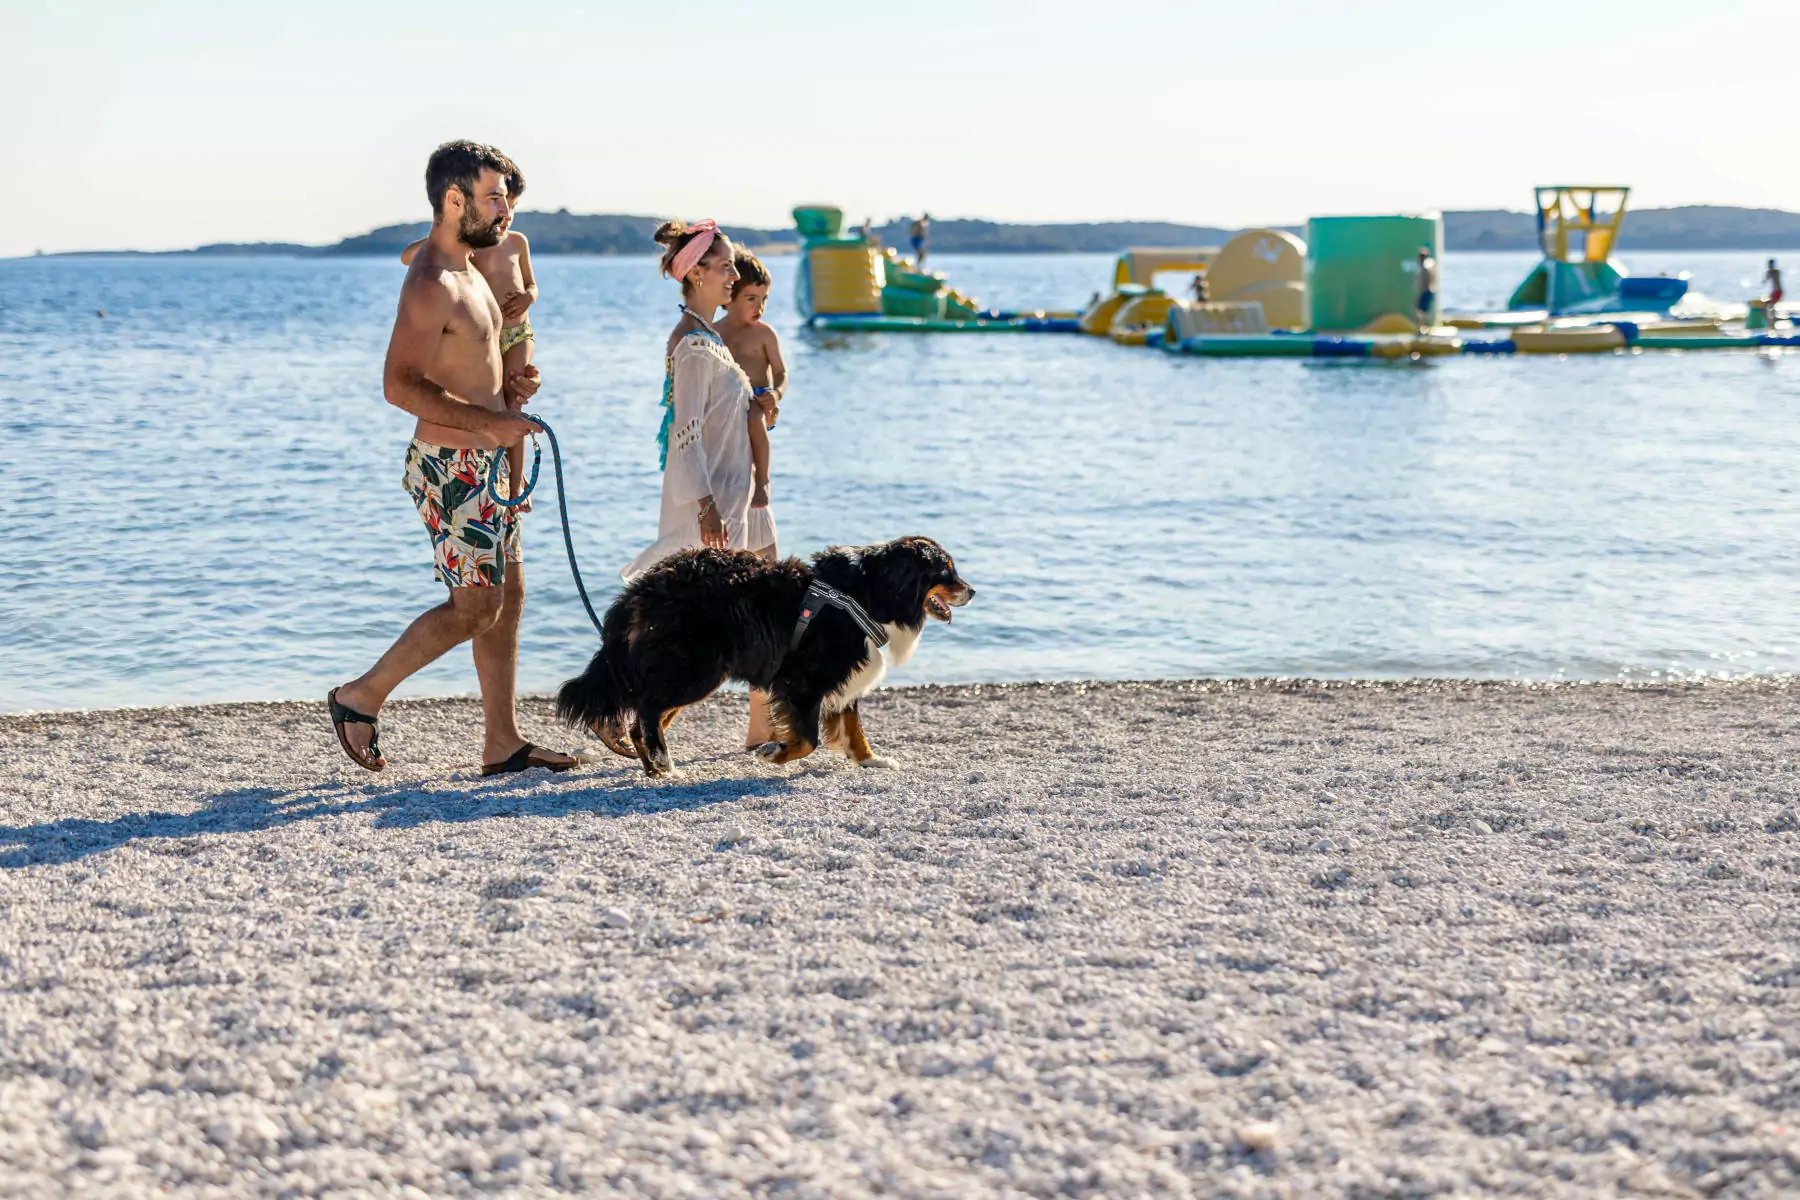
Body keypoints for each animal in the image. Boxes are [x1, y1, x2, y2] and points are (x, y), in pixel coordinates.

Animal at [558, 536, 972, 780]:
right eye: (947, 571)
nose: (972, 590)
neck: (868, 593)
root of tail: (646, 583)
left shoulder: (843, 679)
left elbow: (853, 728)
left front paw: (870, 759)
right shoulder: (804, 680)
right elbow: (807, 740)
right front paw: (774, 752)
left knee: (644, 717)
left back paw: (655, 769)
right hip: (697, 670)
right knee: (646, 708)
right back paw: (663, 761)